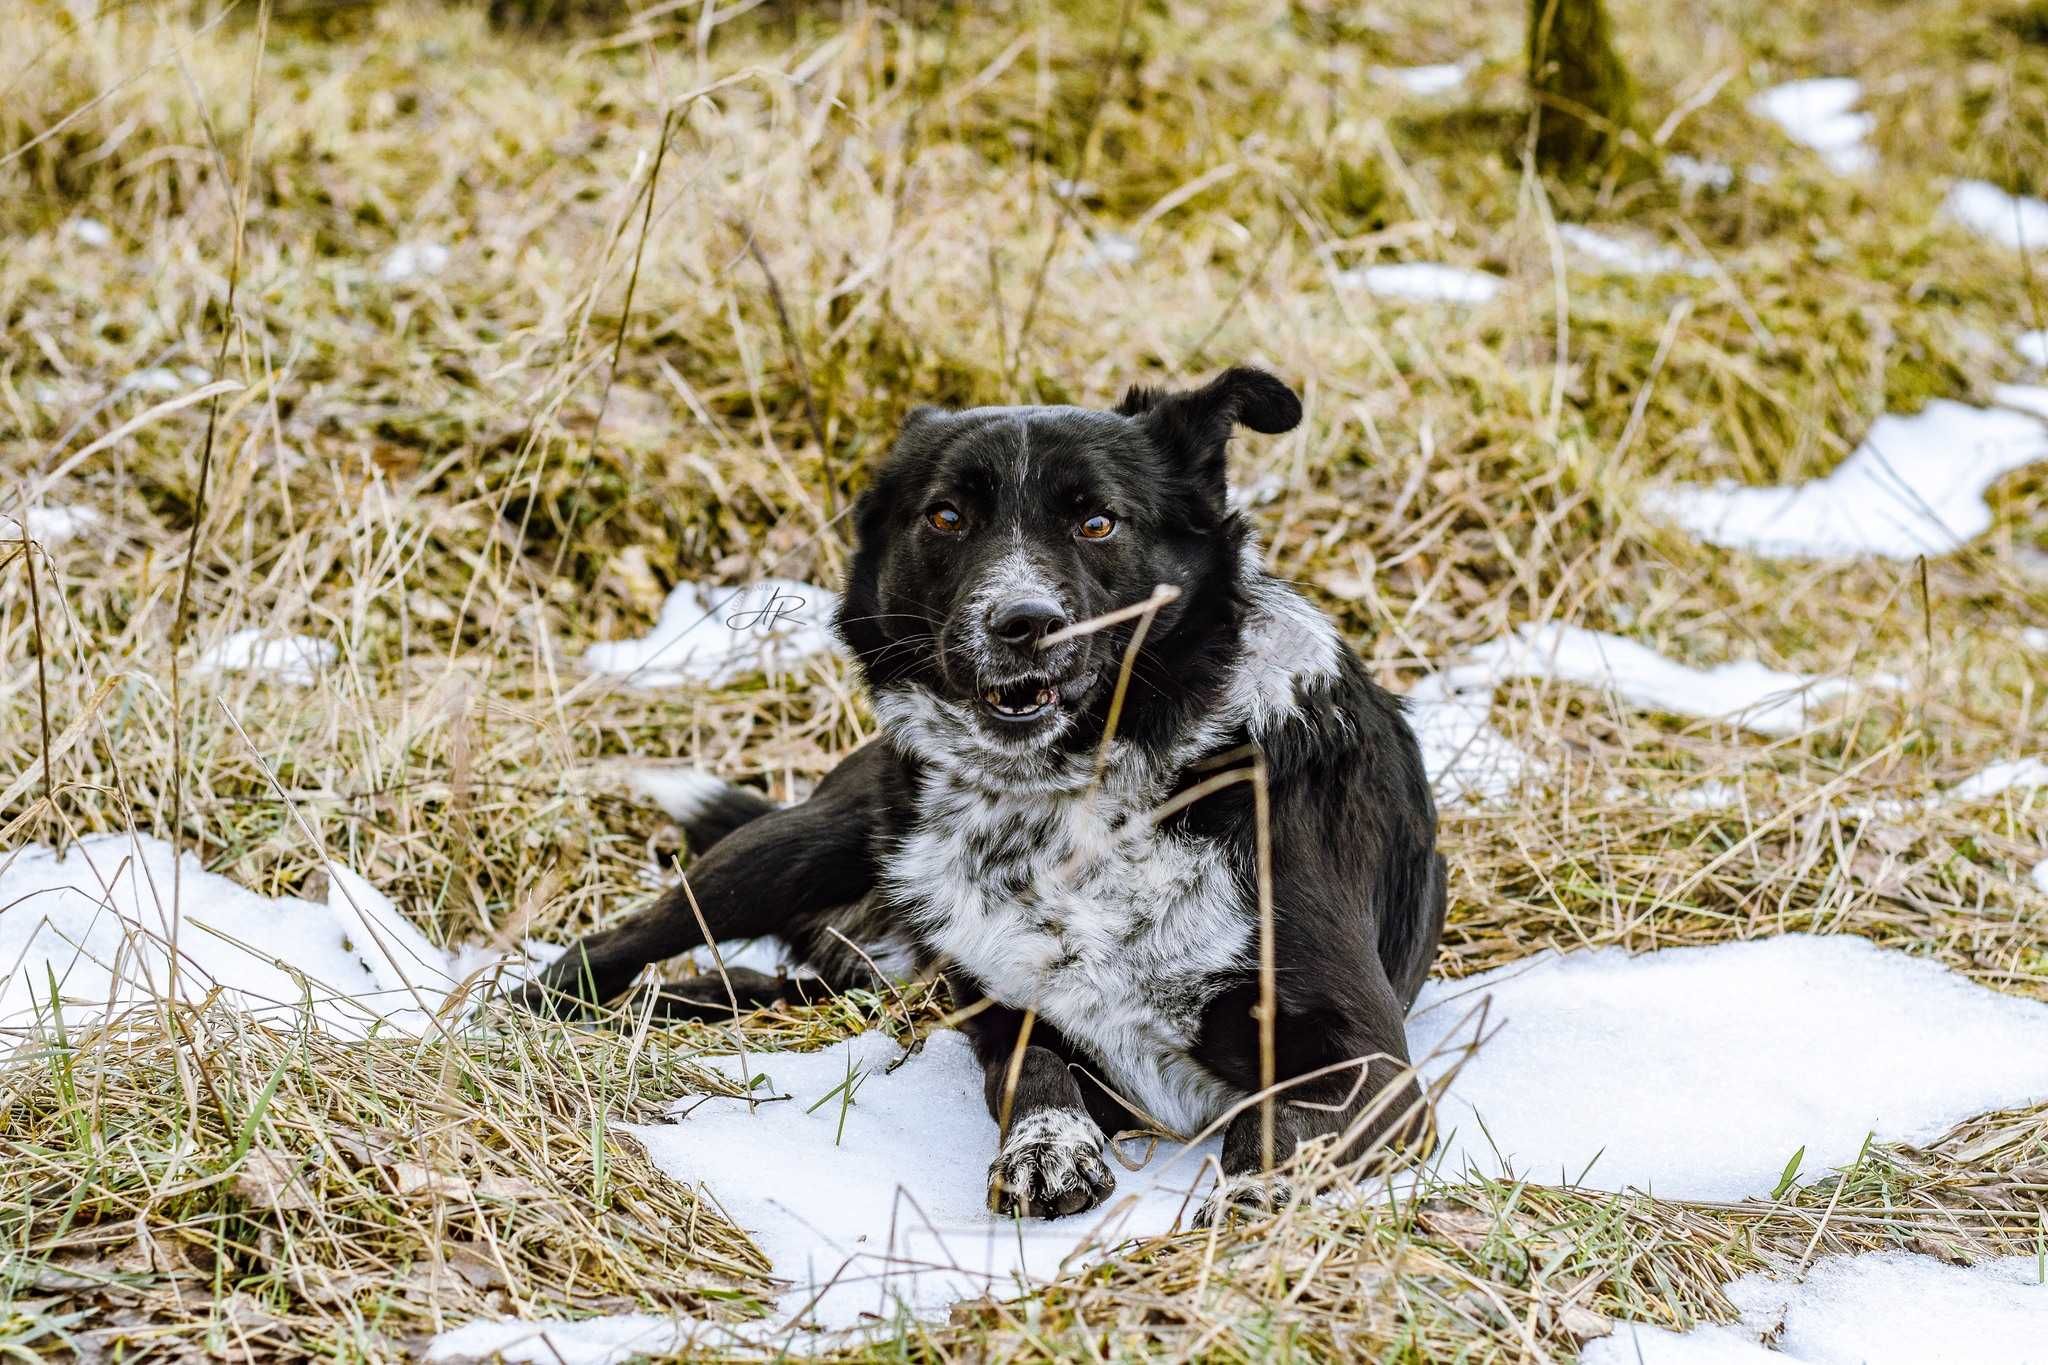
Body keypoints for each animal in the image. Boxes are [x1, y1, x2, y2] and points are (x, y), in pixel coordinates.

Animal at [520, 366, 1449, 1227]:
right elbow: (1033, 1071)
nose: (1023, 622)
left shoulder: (1365, 1057)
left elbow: (1276, 1134)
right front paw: (1048, 1150)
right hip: (800, 846)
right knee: (617, 943)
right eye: (946, 516)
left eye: (1098, 520)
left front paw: (1253, 1201)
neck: (1070, 796)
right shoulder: (1007, 1007)